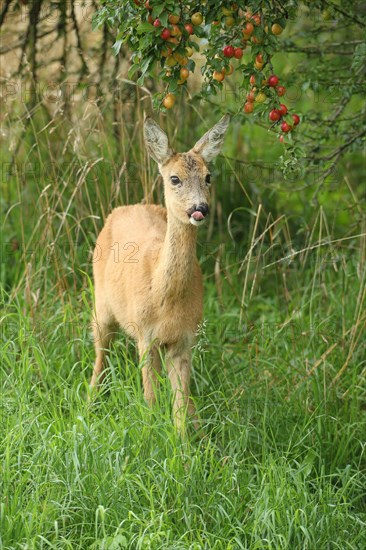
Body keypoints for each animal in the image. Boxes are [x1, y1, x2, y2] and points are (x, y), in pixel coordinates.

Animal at [90, 115, 230, 436]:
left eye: (208, 177)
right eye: (174, 178)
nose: (199, 208)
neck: (164, 295)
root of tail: (124, 207)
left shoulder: (184, 339)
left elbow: (180, 403)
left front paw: (183, 442)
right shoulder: (146, 335)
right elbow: (151, 397)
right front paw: (150, 431)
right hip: (101, 304)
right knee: (100, 352)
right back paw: (89, 403)